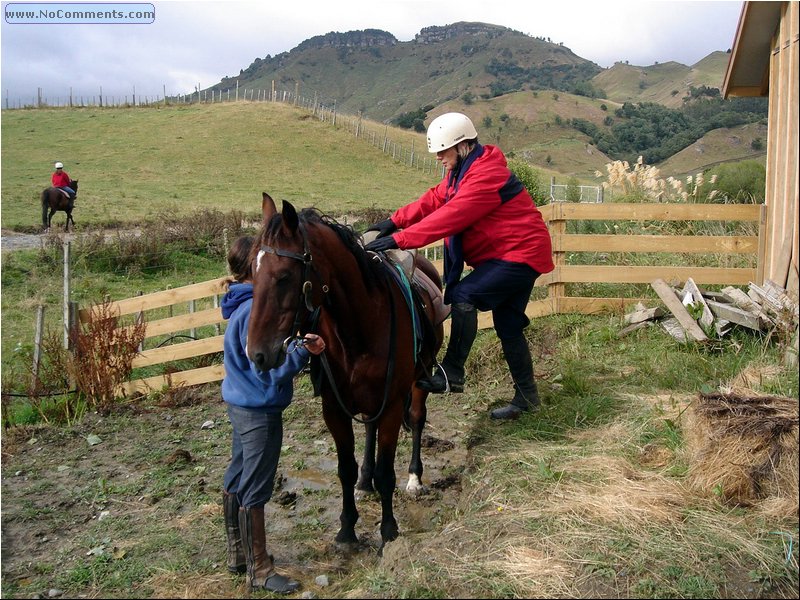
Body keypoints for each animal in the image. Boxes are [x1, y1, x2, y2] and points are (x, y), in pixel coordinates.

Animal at [247, 193, 446, 552]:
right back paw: (366, 482)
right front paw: (347, 528)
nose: (257, 354)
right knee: (368, 429)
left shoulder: (391, 406)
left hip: (417, 382)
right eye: (252, 275)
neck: (359, 326)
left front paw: (388, 530)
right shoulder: (334, 409)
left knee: (417, 418)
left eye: (283, 276)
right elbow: (345, 469)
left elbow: (387, 471)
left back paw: (414, 478)